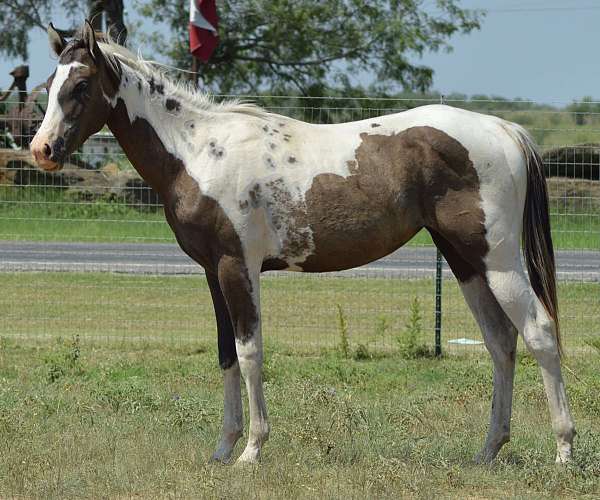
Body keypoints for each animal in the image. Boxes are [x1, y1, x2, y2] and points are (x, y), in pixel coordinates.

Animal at [30, 21, 576, 462]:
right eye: (49, 85)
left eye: (81, 84)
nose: (42, 150)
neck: (199, 151)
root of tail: (503, 129)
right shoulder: (213, 271)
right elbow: (226, 354)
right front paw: (222, 450)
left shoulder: (238, 268)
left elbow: (250, 352)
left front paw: (252, 450)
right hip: (465, 261)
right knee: (500, 342)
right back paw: (488, 450)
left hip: (498, 260)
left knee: (539, 333)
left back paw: (564, 451)